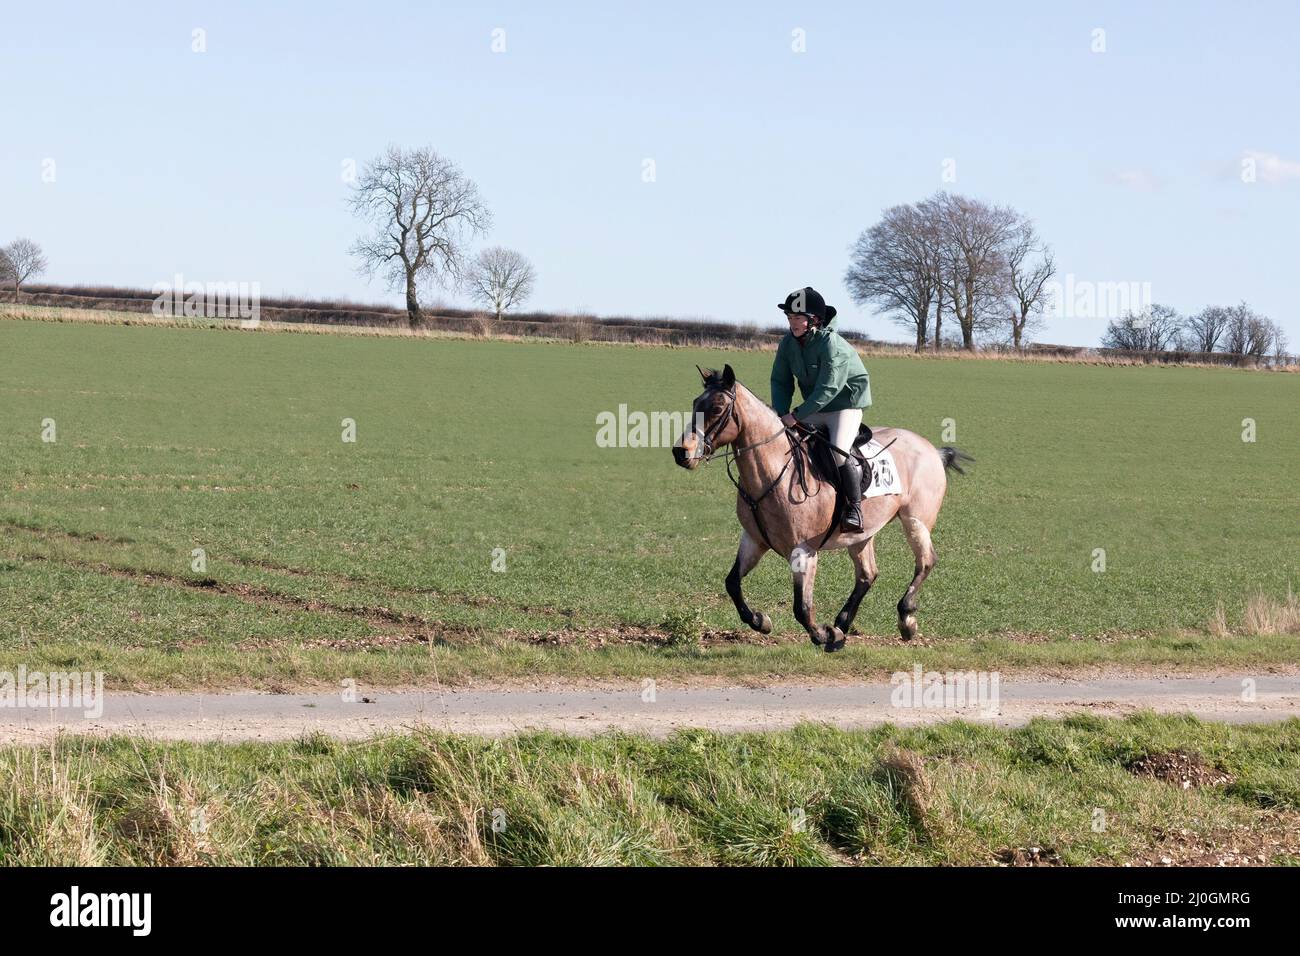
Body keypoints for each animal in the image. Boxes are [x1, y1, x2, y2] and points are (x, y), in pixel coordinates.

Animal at [676, 364, 972, 650]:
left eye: (716, 408)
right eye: (695, 402)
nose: (681, 452)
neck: (773, 472)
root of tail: (932, 449)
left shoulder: (804, 552)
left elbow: (801, 607)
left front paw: (822, 635)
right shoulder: (754, 540)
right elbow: (732, 583)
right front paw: (761, 621)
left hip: (916, 521)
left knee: (925, 561)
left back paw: (906, 619)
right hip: (862, 533)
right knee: (867, 575)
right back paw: (842, 624)